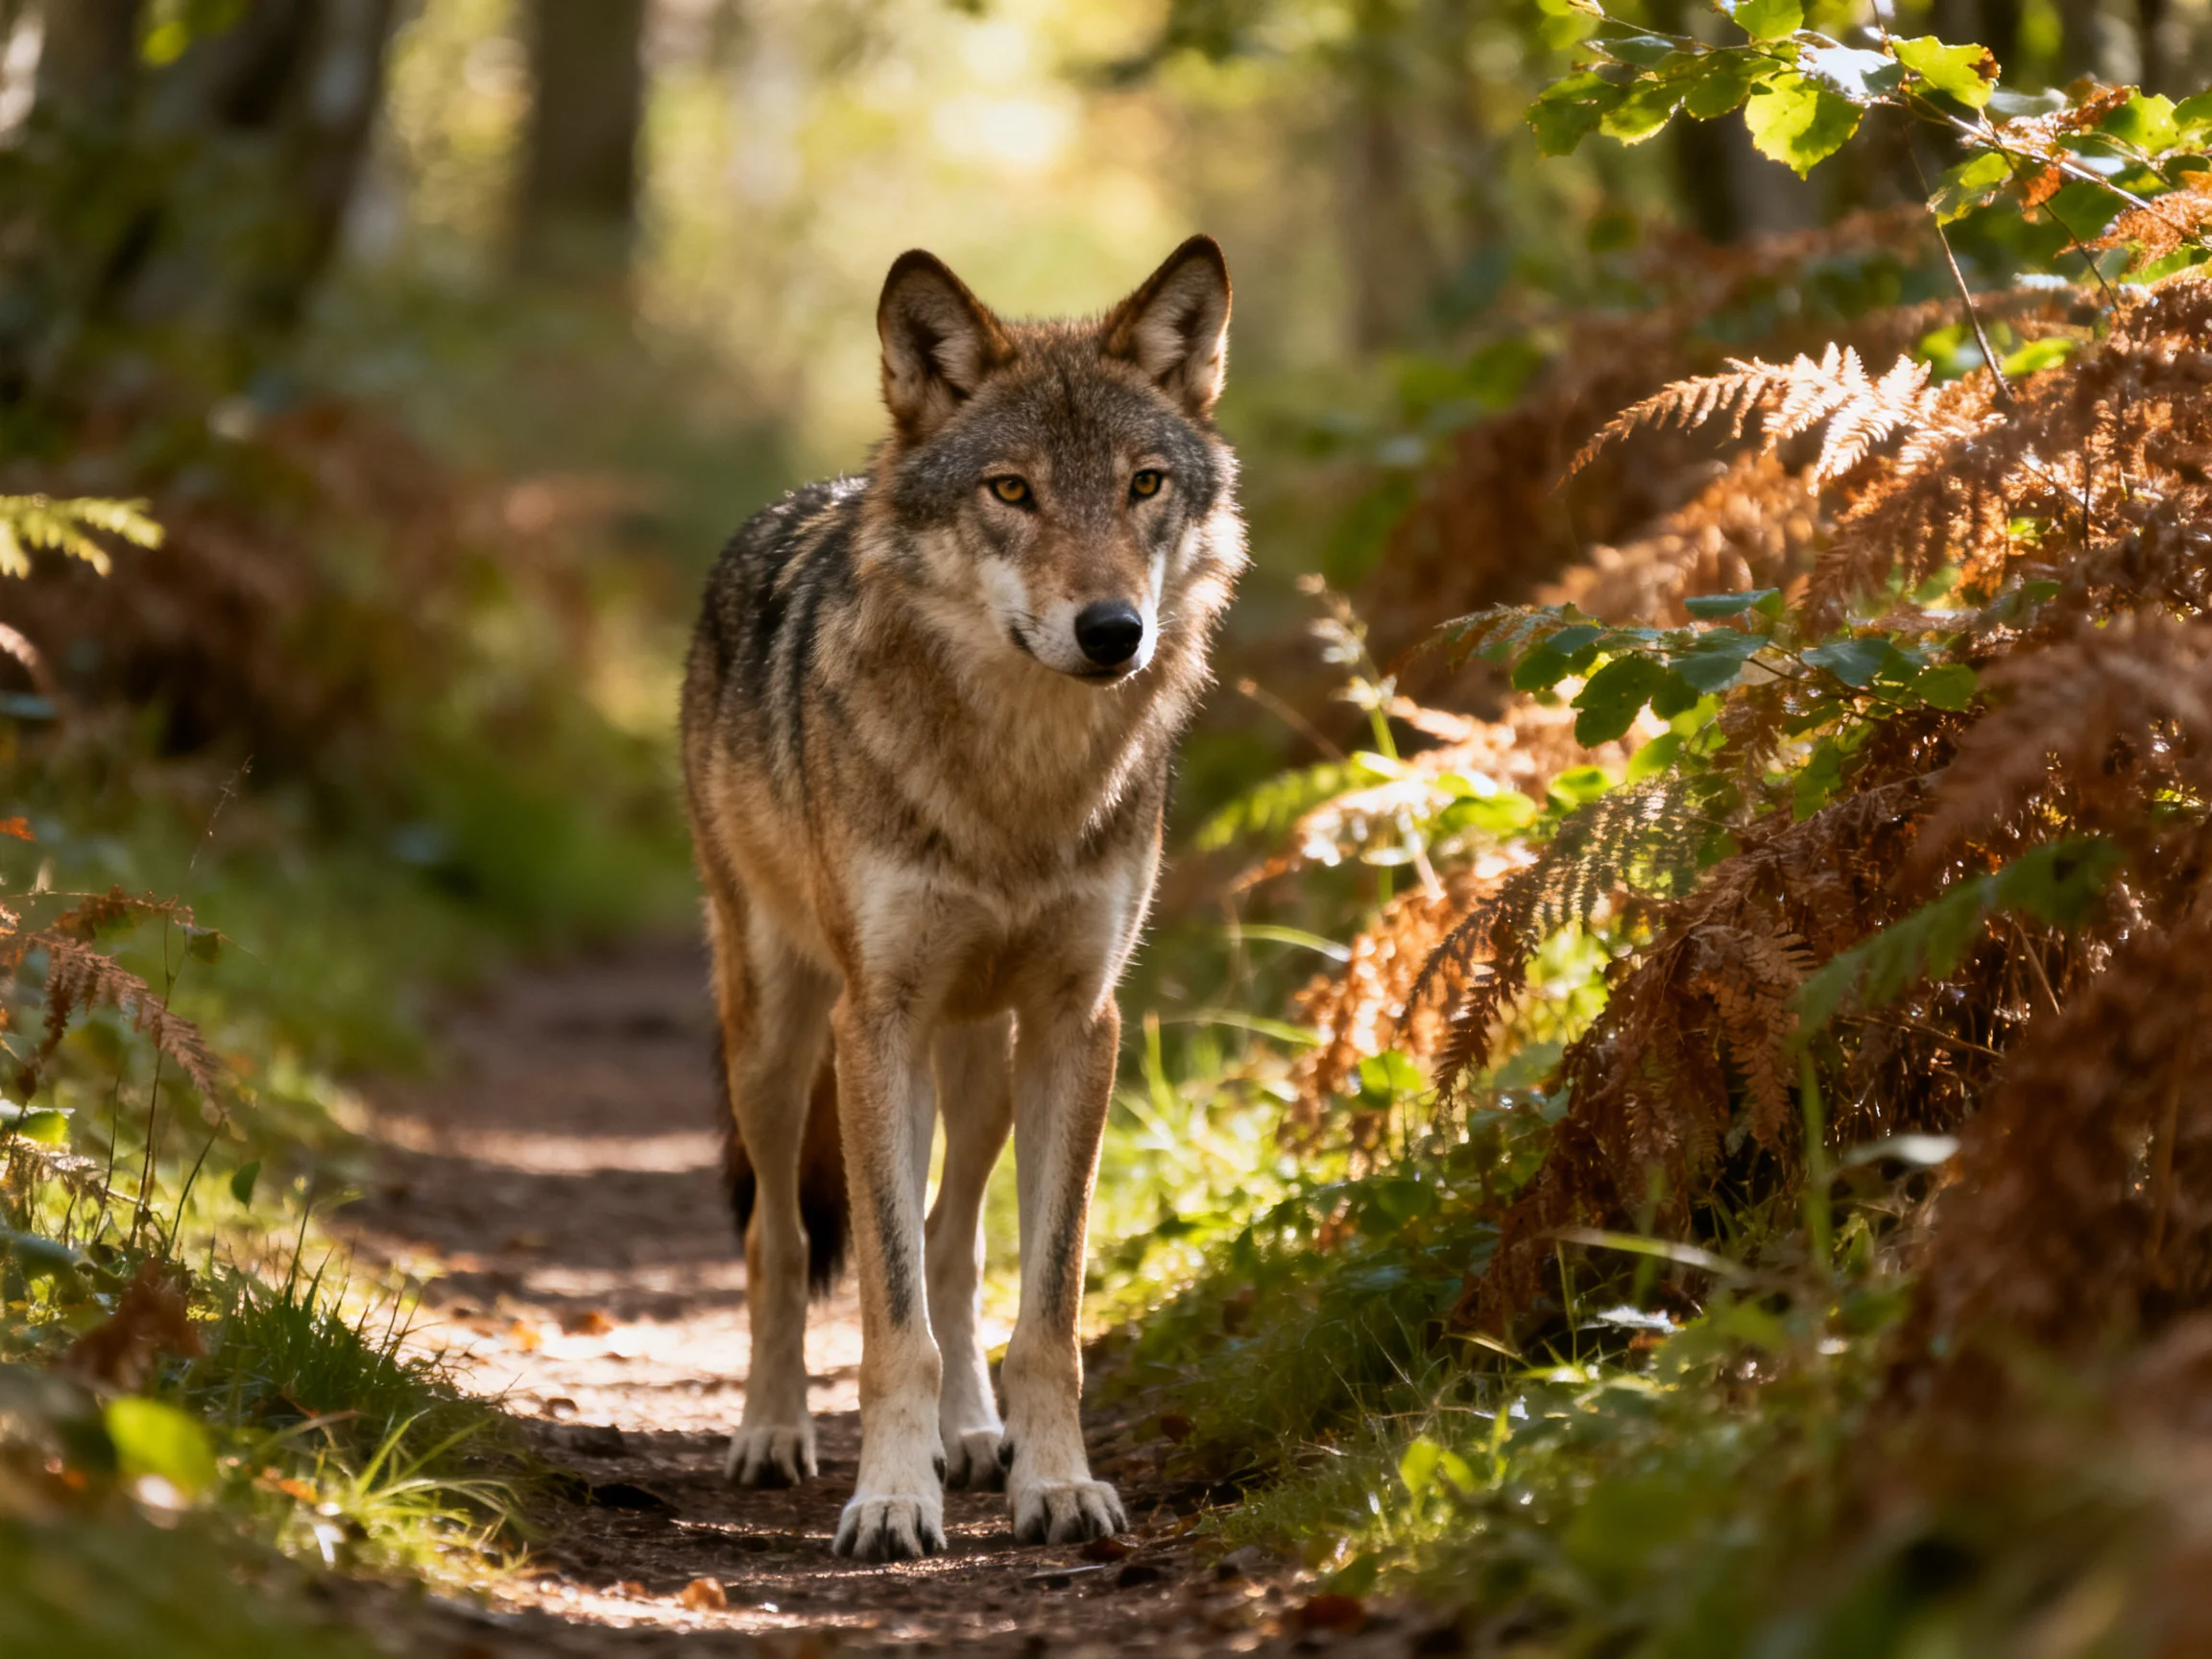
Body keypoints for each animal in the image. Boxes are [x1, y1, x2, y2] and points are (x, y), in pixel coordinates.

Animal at [680, 237, 1244, 1563]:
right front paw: (890, 1499)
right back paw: (774, 1434)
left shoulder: (1081, 1023)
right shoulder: (876, 1021)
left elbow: (1046, 1309)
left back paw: (976, 1438)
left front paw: (1057, 1484)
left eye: (1144, 485)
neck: (1016, 791)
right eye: (1011, 491)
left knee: (953, 1234)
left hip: (981, 1057)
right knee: (778, 1237)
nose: (1113, 630)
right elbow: (889, 1320)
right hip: (783, 1040)